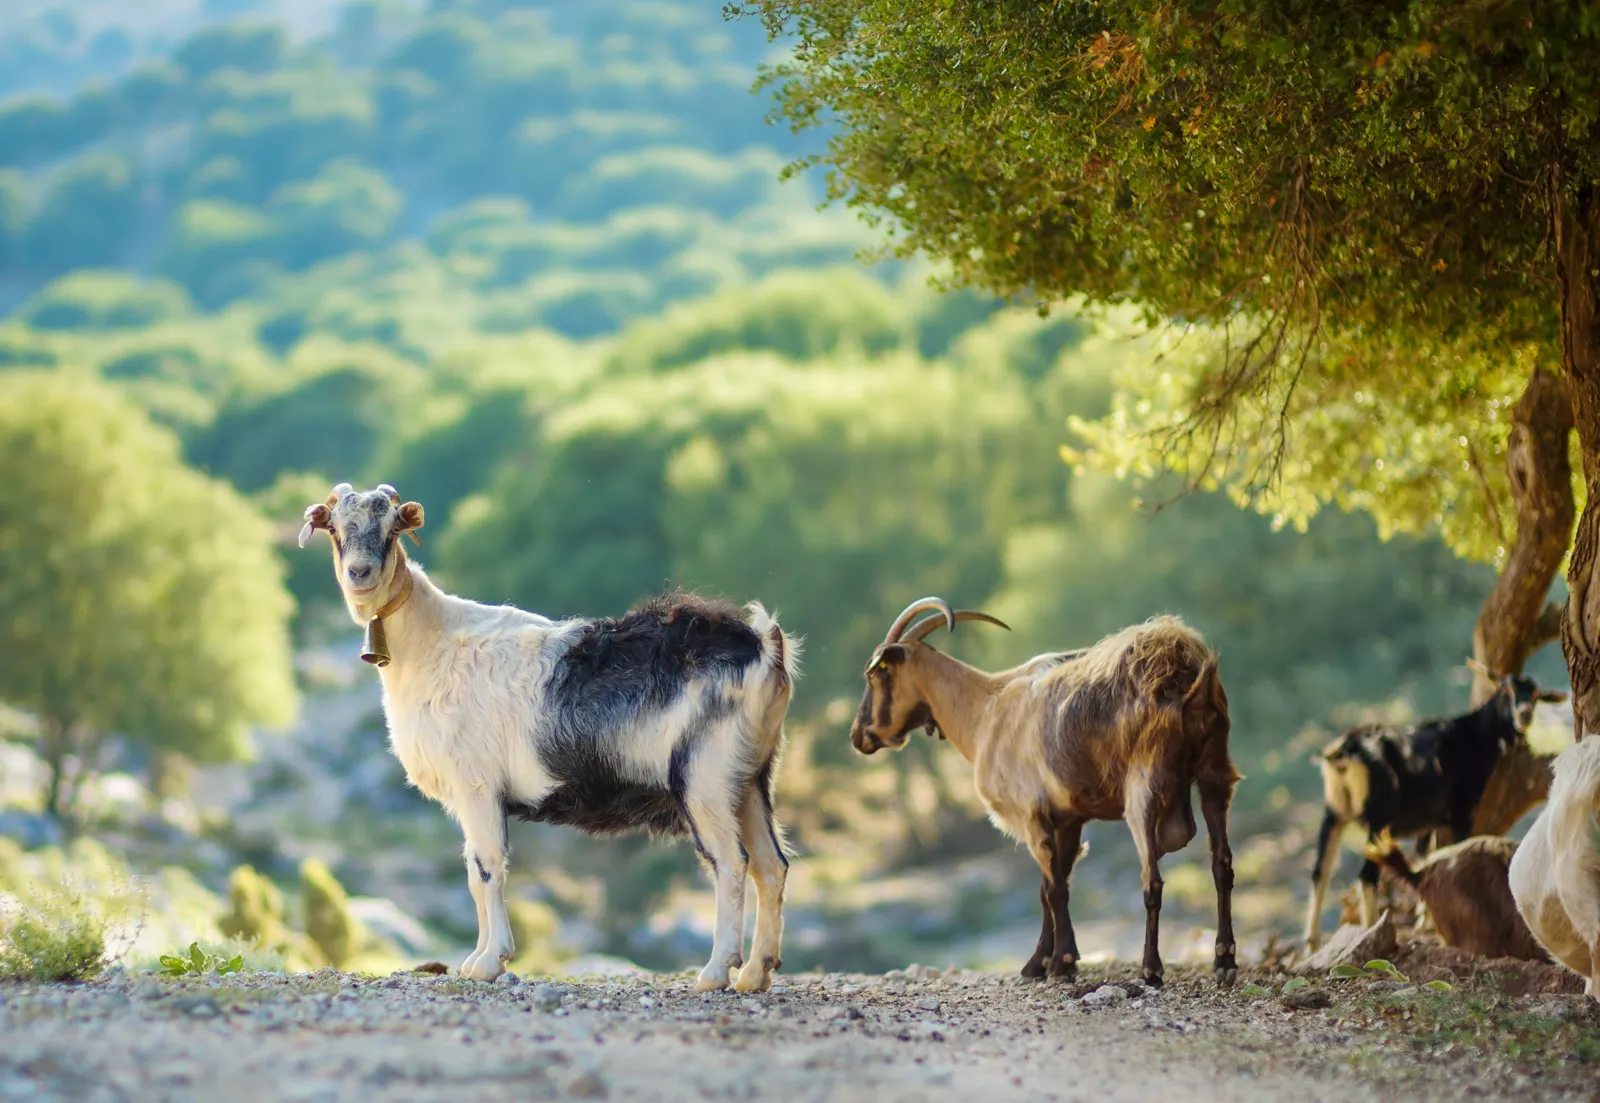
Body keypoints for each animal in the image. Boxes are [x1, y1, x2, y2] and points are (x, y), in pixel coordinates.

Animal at [297, 480, 796, 992]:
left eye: (392, 527)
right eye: (335, 529)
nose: (359, 573)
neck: (431, 643)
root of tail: (765, 644)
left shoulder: (476, 784)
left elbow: (487, 867)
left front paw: (490, 962)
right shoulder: (470, 793)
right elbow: (474, 871)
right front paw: (475, 960)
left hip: (704, 779)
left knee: (732, 863)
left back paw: (716, 972)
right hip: (750, 777)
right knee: (771, 866)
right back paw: (756, 973)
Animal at [851, 598, 1235, 986]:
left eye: (875, 674)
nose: (859, 735)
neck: (985, 711)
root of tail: (1185, 669)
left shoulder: (1031, 816)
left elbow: (1052, 889)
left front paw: (1059, 963)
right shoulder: (1068, 818)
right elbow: (1054, 884)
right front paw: (1045, 962)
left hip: (1143, 789)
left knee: (1151, 880)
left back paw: (1151, 968)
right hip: (1214, 772)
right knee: (1222, 865)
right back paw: (1224, 960)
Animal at [1305, 665, 1568, 947]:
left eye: (1536, 695)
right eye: (1504, 689)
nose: (1524, 714)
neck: (1474, 734)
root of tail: (1345, 750)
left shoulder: (1430, 822)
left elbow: (1424, 856)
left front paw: (1424, 919)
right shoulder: (1461, 811)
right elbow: (1453, 849)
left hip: (1333, 815)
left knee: (1320, 872)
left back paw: (1311, 945)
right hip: (1379, 815)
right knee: (1366, 875)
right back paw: (1370, 929)